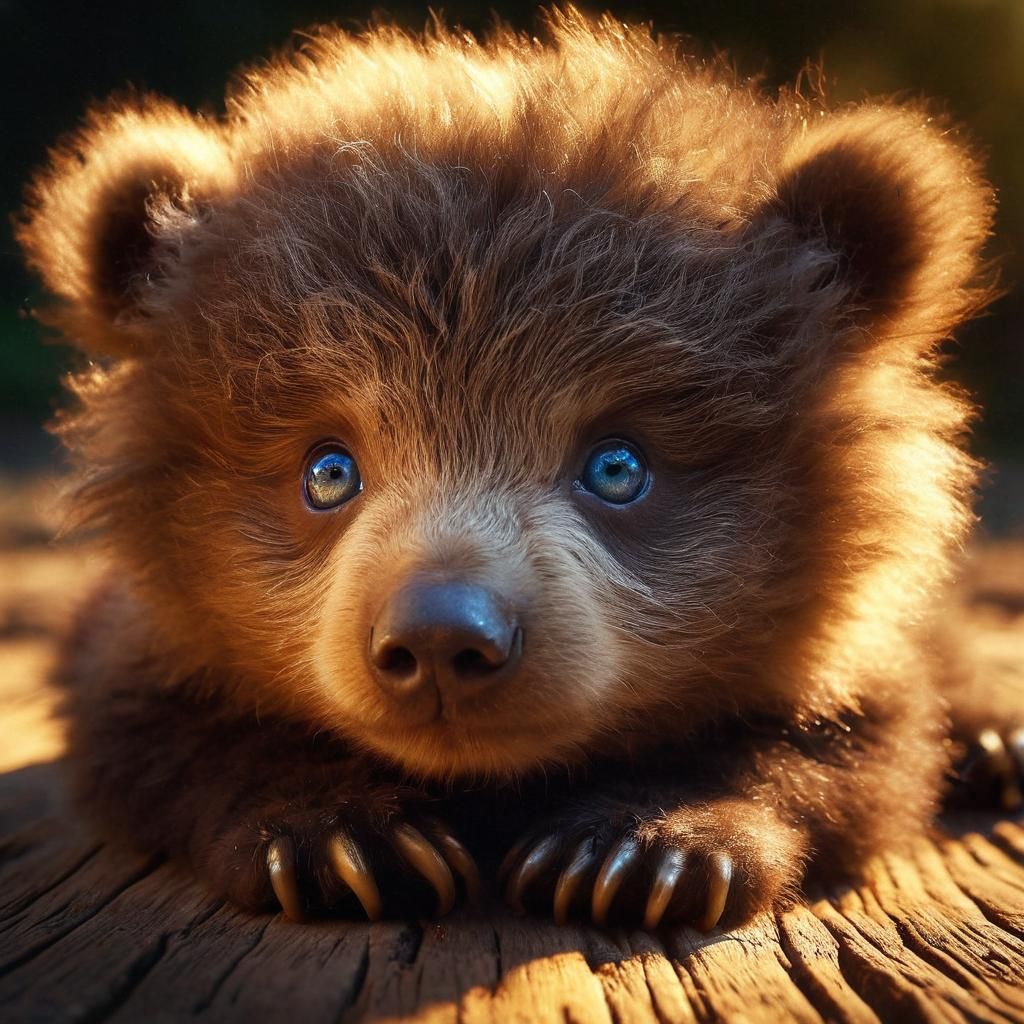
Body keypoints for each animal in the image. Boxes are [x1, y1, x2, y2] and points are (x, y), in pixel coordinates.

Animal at [16, 6, 1021, 930]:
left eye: (617, 465)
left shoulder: (846, 648)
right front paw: (344, 839)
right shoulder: (146, 639)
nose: (438, 639)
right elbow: (153, 728)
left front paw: (643, 848)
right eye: (328, 471)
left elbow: (851, 737)